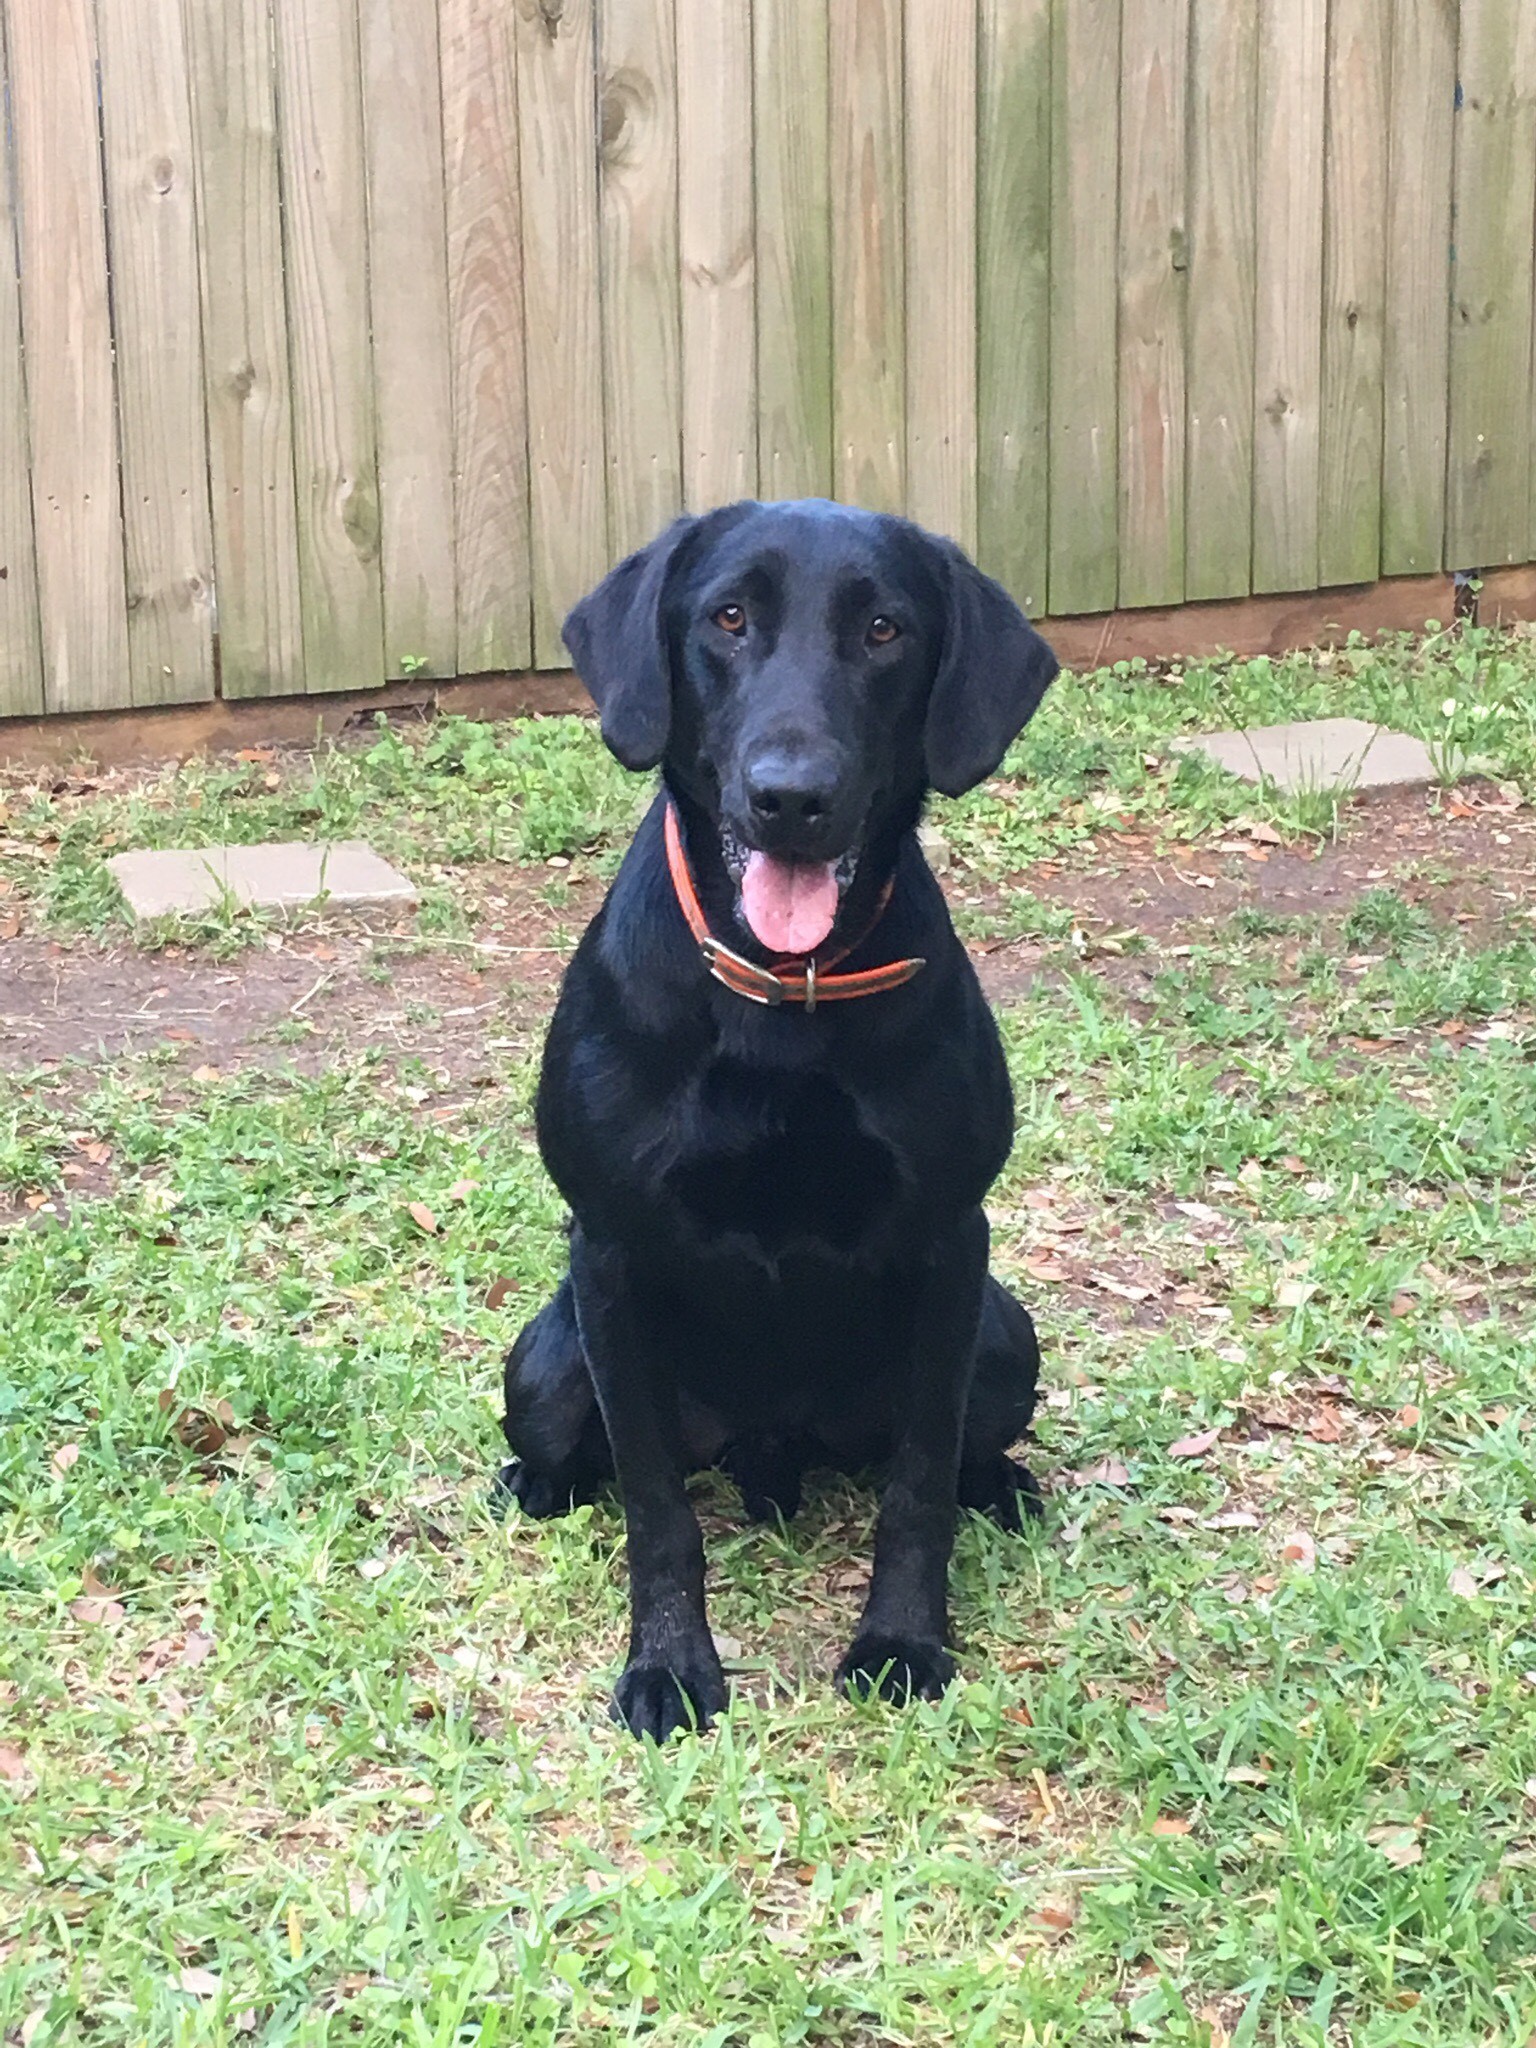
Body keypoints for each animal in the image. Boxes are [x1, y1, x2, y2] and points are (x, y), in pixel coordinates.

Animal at [499, 491, 1064, 1728]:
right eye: (727, 617)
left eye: (886, 629)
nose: (791, 796)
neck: (780, 997)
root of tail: (774, 1446)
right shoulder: (609, 1254)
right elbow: (657, 1508)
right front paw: (669, 1665)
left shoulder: (952, 1246)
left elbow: (916, 1489)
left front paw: (902, 1640)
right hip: (545, 1365)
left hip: (1004, 1335)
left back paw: (1001, 1482)